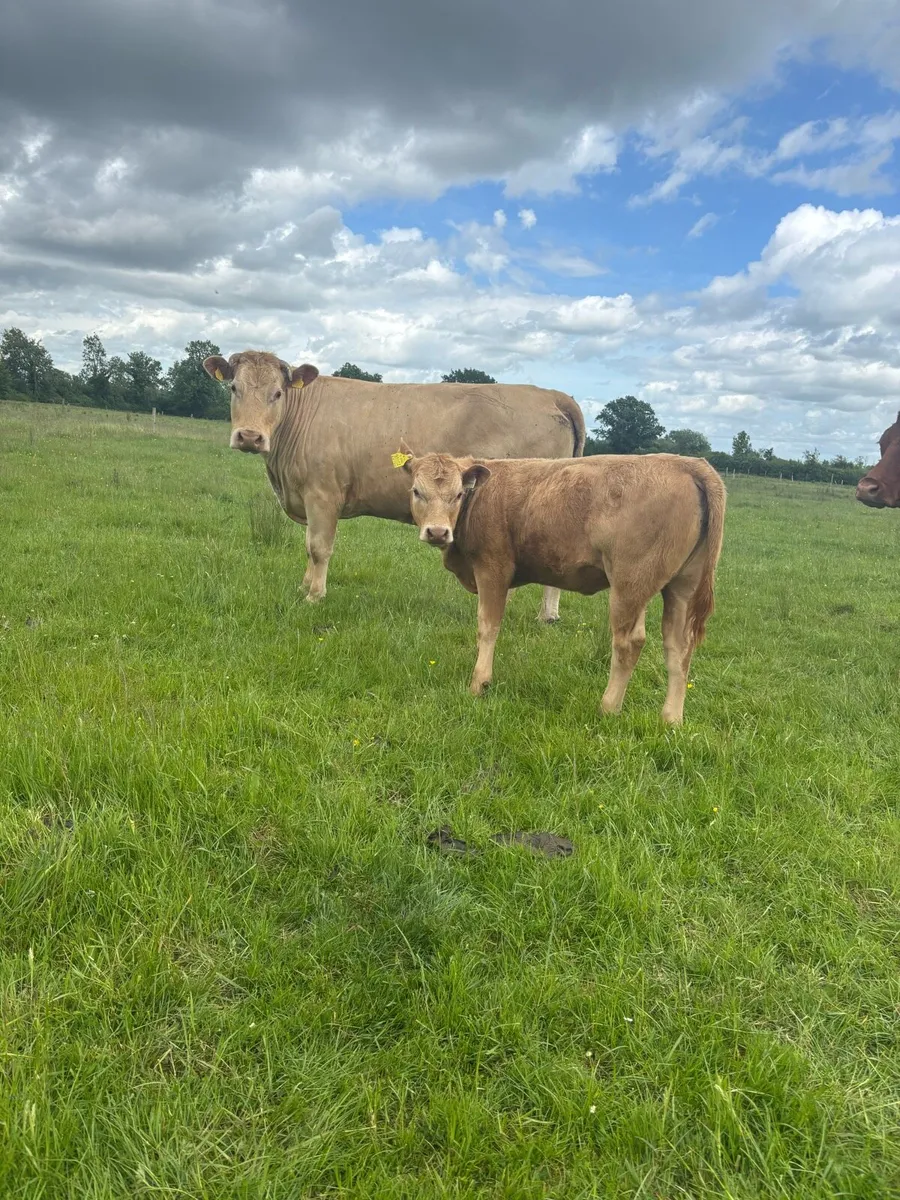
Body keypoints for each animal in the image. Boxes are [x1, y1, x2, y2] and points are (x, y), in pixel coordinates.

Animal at [202, 350, 586, 621]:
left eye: (278, 393)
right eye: (234, 388)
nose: (250, 436)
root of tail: (551, 394)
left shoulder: (322, 494)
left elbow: (319, 547)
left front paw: (314, 596)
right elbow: (309, 546)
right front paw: (304, 587)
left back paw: (546, 615)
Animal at [396, 440, 726, 725]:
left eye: (458, 495)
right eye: (416, 491)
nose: (437, 532)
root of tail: (685, 463)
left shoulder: (493, 569)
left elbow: (488, 627)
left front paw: (479, 684)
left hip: (630, 582)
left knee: (628, 643)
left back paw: (608, 707)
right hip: (682, 585)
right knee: (679, 647)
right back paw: (671, 719)